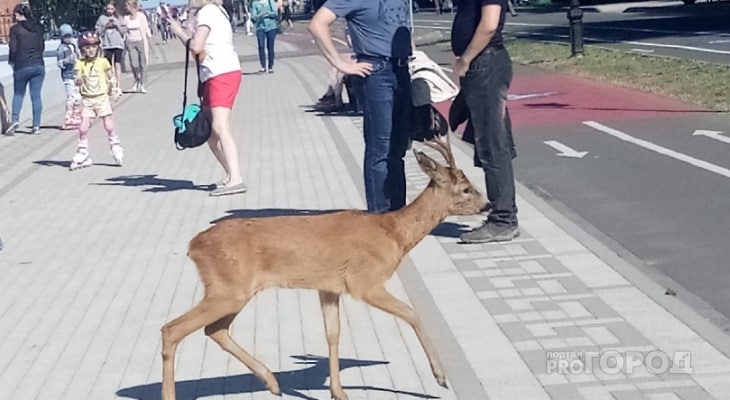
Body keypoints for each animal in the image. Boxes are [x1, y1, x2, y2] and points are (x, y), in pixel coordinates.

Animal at [162, 135, 486, 400]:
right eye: (466, 188)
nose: (487, 205)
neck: (393, 233)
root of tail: (193, 245)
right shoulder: (364, 281)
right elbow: (411, 313)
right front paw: (440, 377)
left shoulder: (329, 288)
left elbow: (333, 334)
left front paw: (338, 392)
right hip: (228, 288)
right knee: (172, 329)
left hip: (233, 290)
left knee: (214, 330)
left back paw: (272, 382)